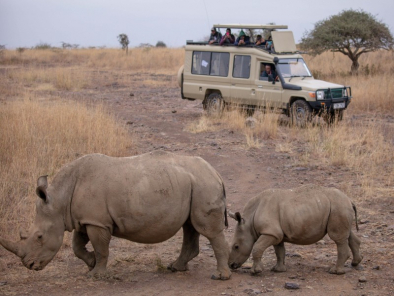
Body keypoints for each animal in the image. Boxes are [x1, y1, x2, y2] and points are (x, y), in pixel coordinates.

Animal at [0, 153, 231, 280]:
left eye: (39, 237)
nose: (29, 266)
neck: (60, 200)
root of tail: (216, 173)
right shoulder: (85, 219)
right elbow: (77, 246)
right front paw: (91, 263)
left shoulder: (97, 222)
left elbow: (101, 249)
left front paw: (96, 275)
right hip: (194, 185)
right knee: (190, 226)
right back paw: (175, 268)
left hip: (203, 185)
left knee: (207, 230)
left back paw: (219, 277)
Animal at [228, 185, 364, 276]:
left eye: (236, 246)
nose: (231, 265)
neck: (248, 222)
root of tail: (350, 200)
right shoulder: (276, 234)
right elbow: (279, 251)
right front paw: (278, 270)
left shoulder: (270, 232)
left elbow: (257, 247)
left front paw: (256, 271)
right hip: (340, 207)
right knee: (347, 235)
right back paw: (355, 263)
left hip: (338, 207)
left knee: (338, 238)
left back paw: (335, 272)